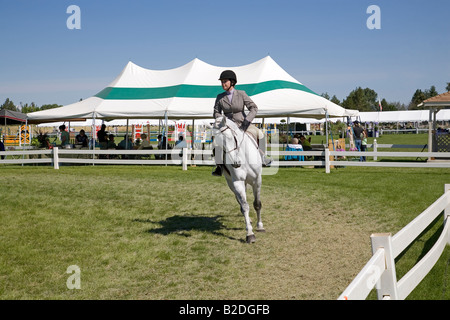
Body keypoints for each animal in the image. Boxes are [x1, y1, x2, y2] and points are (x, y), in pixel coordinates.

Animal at [213, 116, 266, 244]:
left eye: (230, 137)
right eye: (217, 143)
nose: (236, 163)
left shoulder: (257, 180)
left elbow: (257, 204)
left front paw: (260, 226)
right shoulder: (237, 182)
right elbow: (245, 206)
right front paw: (250, 234)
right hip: (232, 184)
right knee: (242, 203)